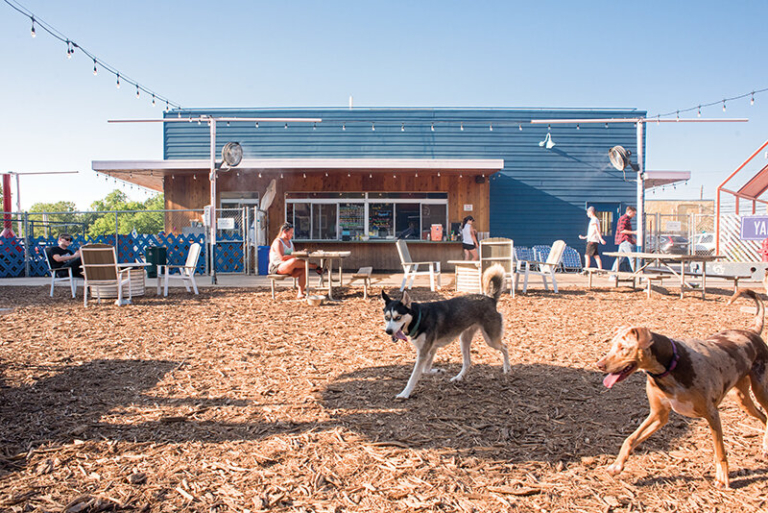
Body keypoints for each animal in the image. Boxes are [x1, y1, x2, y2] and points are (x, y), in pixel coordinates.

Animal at [382, 264, 510, 400]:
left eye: (398, 317)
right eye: (386, 317)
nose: (388, 331)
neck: (419, 317)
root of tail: (490, 299)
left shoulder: (423, 353)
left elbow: (413, 377)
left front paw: (404, 393)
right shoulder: (431, 350)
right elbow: (425, 370)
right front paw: (438, 371)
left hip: (491, 340)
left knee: (505, 347)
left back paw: (507, 368)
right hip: (464, 340)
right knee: (468, 362)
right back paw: (459, 378)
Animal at [596, 288, 768, 488]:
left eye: (623, 347)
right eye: (611, 345)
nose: (599, 365)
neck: (670, 366)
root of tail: (752, 332)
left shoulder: (712, 414)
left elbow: (720, 451)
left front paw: (722, 477)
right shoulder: (659, 414)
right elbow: (630, 439)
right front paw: (617, 465)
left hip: (760, 390)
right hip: (742, 398)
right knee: (763, 417)